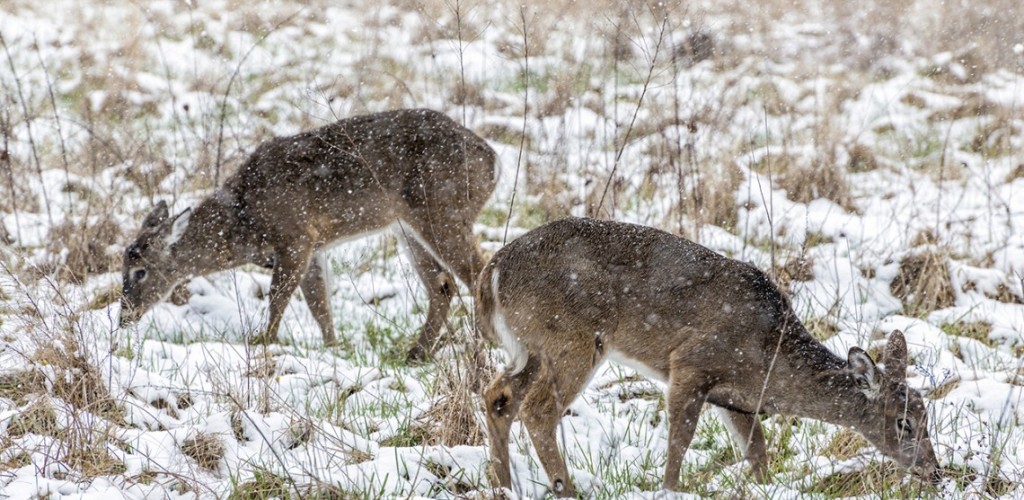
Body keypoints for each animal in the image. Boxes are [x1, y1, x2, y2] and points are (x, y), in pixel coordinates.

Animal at [119, 108, 497, 361]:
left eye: (140, 272)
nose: (123, 317)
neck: (245, 218)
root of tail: (493, 162)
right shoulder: (314, 246)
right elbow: (319, 303)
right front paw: (334, 348)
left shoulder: (296, 234)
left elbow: (278, 297)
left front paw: (263, 342)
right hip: (408, 227)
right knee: (442, 285)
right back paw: (416, 353)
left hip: (443, 209)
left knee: (477, 272)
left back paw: (482, 349)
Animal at [476, 217, 939, 497]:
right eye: (904, 422)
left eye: (927, 416)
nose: (935, 472)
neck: (769, 354)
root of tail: (492, 273)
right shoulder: (691, 364)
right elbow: (678, 444)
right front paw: (668, 490)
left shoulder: (737, 400)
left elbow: (757, 453)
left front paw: (767, 487)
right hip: (570, 338)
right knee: (538, 410)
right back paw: (565, 489)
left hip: (529, 346)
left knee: (498, 395)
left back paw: (504, 487)